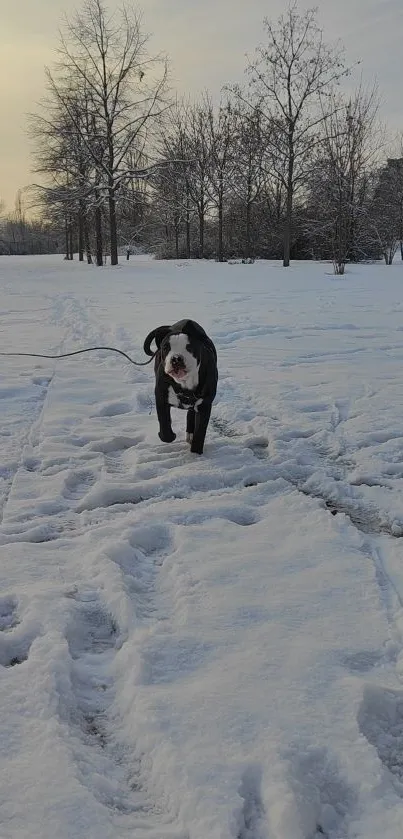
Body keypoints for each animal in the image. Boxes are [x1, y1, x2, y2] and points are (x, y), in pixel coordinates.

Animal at [144, 320, 218, 452]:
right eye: (166, 348)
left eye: (189, 347)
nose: (176, 358)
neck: (184, 383)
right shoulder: (161, 397)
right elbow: (164, 426)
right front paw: (170, 435)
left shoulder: (205, 405)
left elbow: (200, 432)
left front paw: (196, 453)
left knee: (191, 413)